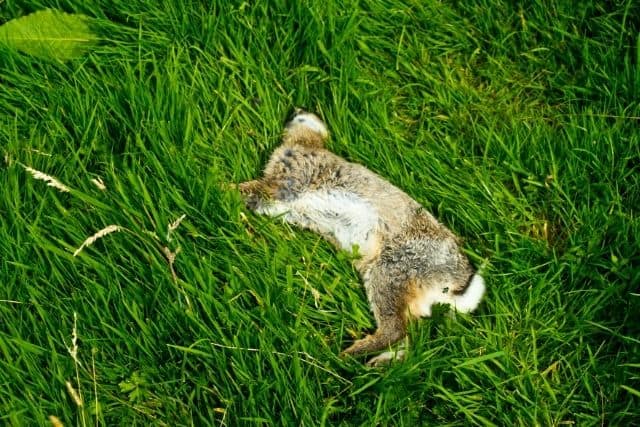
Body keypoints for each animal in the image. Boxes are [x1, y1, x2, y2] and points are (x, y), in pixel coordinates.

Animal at [235, 108, 485, 365]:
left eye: (305, 116)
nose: (296, 110)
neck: (307, 142)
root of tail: (456, 282)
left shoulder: (289, 182)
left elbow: (257, 190)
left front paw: (225, 189)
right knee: (405, 335)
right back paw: (379, 363)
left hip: (391, 272)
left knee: (394, 330)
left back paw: (348, 354)